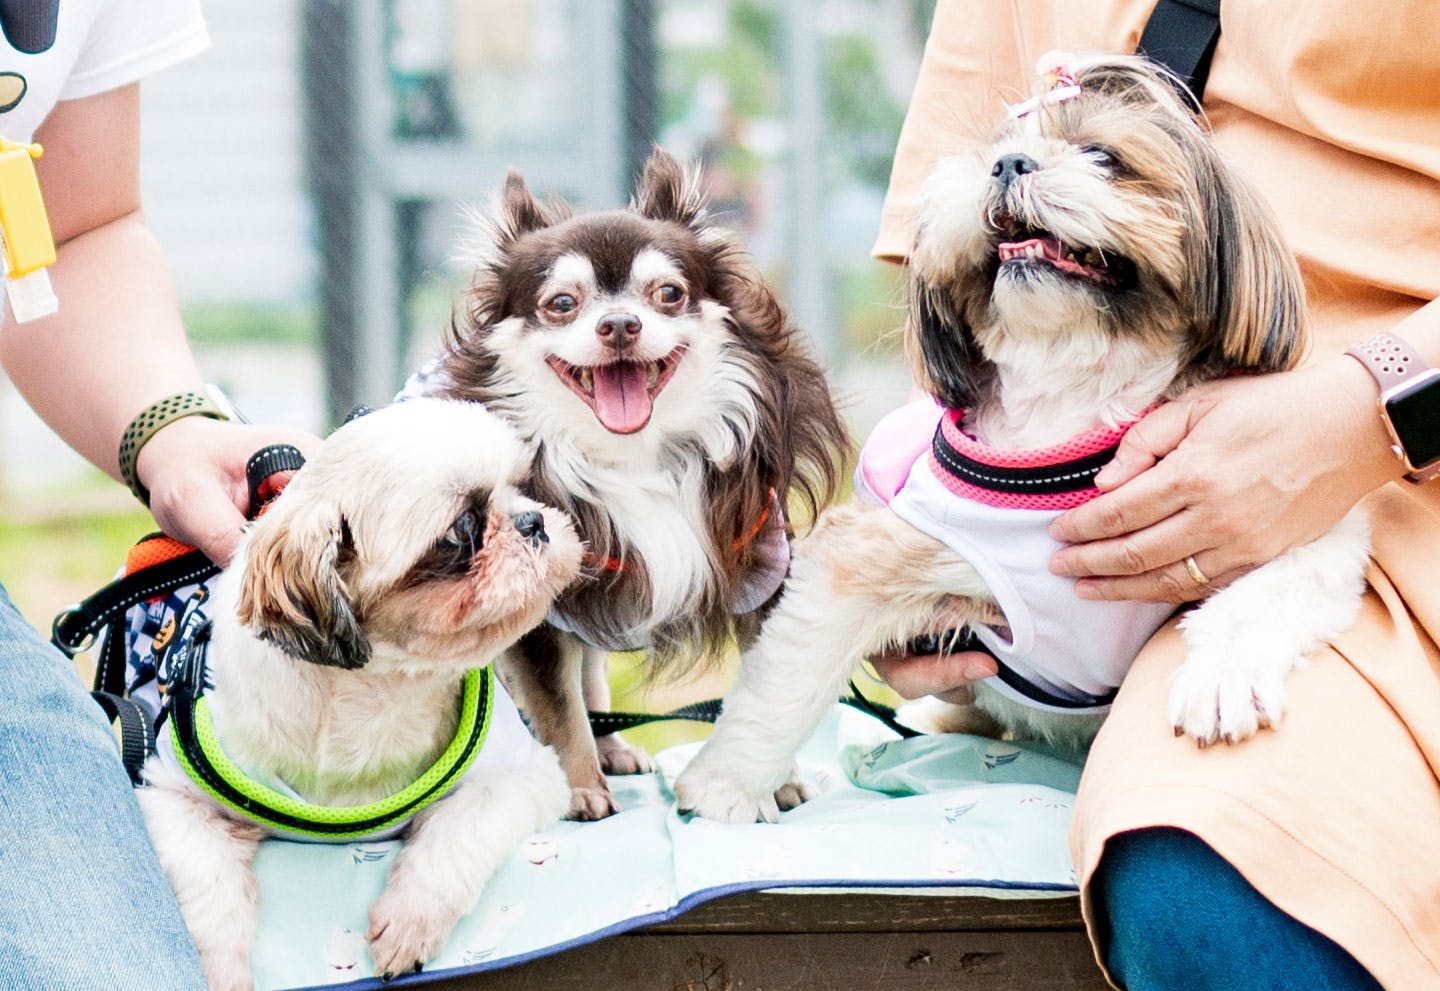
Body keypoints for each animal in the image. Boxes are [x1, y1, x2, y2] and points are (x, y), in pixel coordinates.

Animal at [135, 397, 581, 990]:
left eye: (522, 487)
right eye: (462, 528)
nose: (534, 521)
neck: (377, 696)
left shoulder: (521, 776)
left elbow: (458, 832)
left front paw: (409, 920)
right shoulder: (171, 797)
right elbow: (208, 889)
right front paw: (219, 969)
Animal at [406, 145, 846, 812]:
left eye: (668, 293)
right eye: (562, 304)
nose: (618, 324)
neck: (635, 455)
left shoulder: (757, 568)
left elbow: (768, 690)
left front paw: (775, 777)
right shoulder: (539, 607)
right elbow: (558, 709)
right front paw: (579, 788)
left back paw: (613, 747)